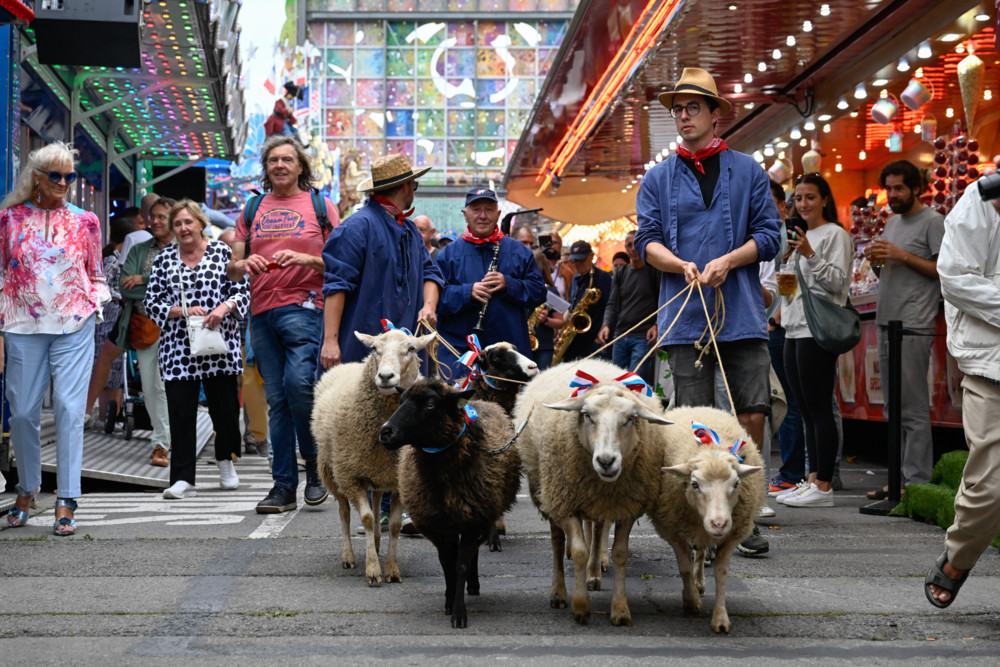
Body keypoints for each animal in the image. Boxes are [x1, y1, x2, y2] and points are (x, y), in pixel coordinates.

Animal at [312, 328, 434, 584]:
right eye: (375, 349)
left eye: (411, 349)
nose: (385, 376)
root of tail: (345, 364)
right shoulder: (351, 477)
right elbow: (366, 518)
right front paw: (373, 570)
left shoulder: (399, 479)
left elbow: (395, 525)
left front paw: (391, 569)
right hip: (333, 470)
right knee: (345, 512)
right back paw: (348, 556)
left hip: (376, 472)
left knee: (377, 501)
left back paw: (377, 543)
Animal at [380, 378, 524, 628]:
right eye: (400, 400)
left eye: (430, 404)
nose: (386, 431)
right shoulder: (437, 524)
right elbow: (447, 563)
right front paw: (449, 601)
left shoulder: (475, 520)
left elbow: (461, 565)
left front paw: (459, 613)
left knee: (473, 554)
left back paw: (473, 585)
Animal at [512, 360, 668, 628]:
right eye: (587, 415)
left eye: (630, 418)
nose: (606, 461)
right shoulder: (565, 502)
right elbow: (578, 551)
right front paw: (581, 606)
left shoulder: (626, 506)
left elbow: (620, 554)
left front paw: (620, 610)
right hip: (549, 494)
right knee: (557, 541)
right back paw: (559, 592)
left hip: (596, 501)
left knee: (597, 529)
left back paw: (594, 573)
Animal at [648, 404, 764, 636]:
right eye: (694, 484)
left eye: (736, 483)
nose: (719, 524)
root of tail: (699, 406)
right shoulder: (672, 531)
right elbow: (684, 567)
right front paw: (691, 601)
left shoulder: (732, 535)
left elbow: (721, 573)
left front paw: (720, 618)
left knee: (701, 551)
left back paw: (700, 582)